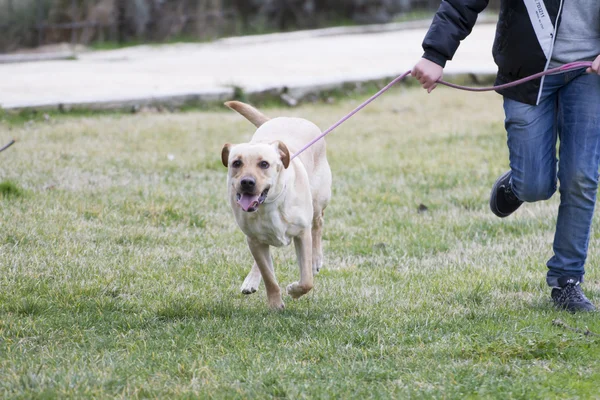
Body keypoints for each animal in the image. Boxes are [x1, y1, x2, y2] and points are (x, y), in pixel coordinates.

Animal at [221, 101, 332, 310]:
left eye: (264, 164)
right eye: (236, 163)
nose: (247, 182)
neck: (270, 205)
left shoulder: (302, 234)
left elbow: (307, 280)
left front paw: (294, 291)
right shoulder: (253, 239)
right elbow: (268, 276)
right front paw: (274, 303)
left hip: (318, 200)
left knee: (318, 224)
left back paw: (316, 259)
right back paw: (251, 279)